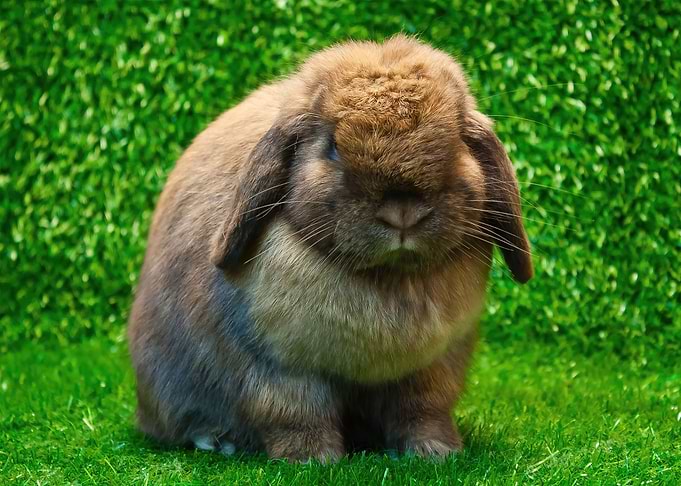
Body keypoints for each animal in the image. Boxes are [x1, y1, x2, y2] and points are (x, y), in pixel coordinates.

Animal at [127, 34, 533, 463]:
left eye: (456, 143)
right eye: (333, 147)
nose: (402, 212)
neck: (387, 277)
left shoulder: (431, 369)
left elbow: (423, 410)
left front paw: (436, 453)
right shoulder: (281, 368)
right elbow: (297, 413)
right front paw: (312, 460)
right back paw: (215, 441)